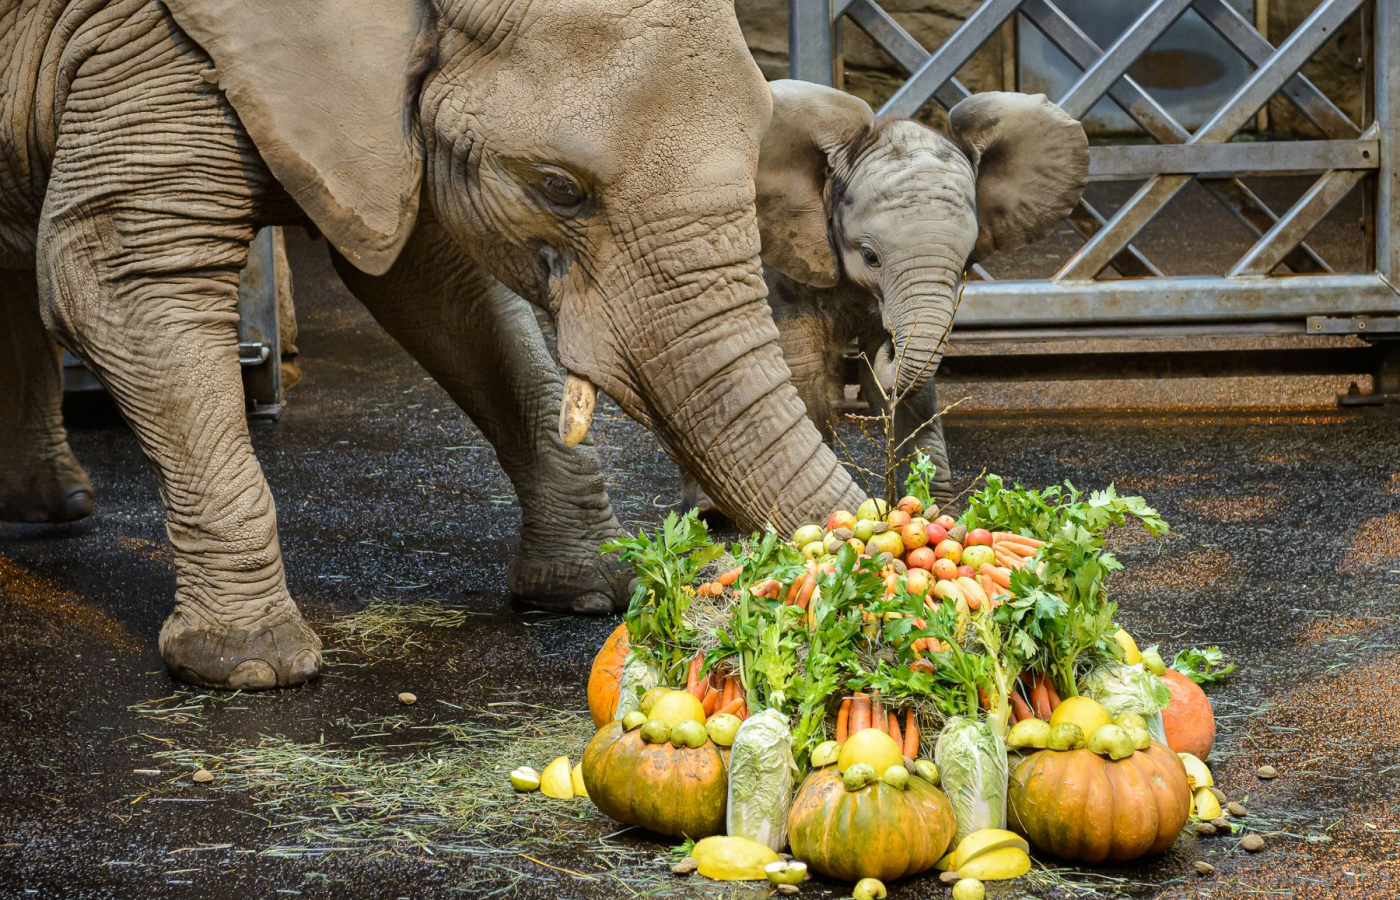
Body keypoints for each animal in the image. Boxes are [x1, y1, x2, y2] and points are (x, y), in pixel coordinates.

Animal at [0, 1, 856, 691]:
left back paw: (55, 506)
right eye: (559, 187)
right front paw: (250, 668)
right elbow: (119, 278)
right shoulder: (146, 43)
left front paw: (592, 592)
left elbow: (440, 286)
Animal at [683, 81, 1086, 517]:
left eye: (966, 261)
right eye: (870, 257)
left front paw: (934, 509)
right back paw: (705, 510)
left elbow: (912, 390)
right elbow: (802, 369)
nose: (888, 346)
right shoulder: (779, 260)